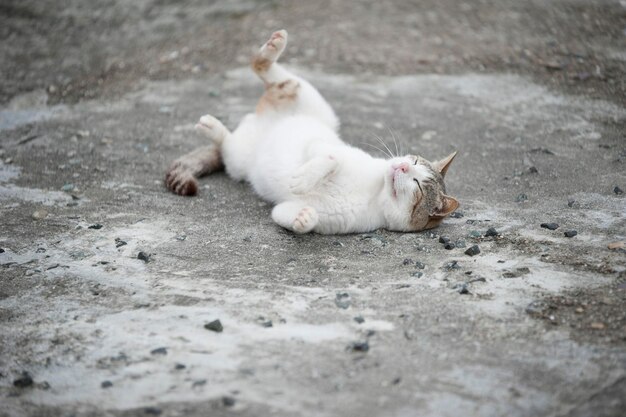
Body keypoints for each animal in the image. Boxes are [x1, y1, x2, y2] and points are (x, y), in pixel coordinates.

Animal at [166, 30, 458, 234]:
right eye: (414, 160)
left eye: (417, 184)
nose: (402, 166)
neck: (375, 191)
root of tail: (258, 120)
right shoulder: (323, 146)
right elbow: (331, 157)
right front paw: (305, 179)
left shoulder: (306, 213)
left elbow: (296, 216)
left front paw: (304, 219)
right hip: (314, 101)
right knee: (269, 71)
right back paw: (273, 47)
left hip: (240, 160)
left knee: (227, 144)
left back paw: (213, 127)